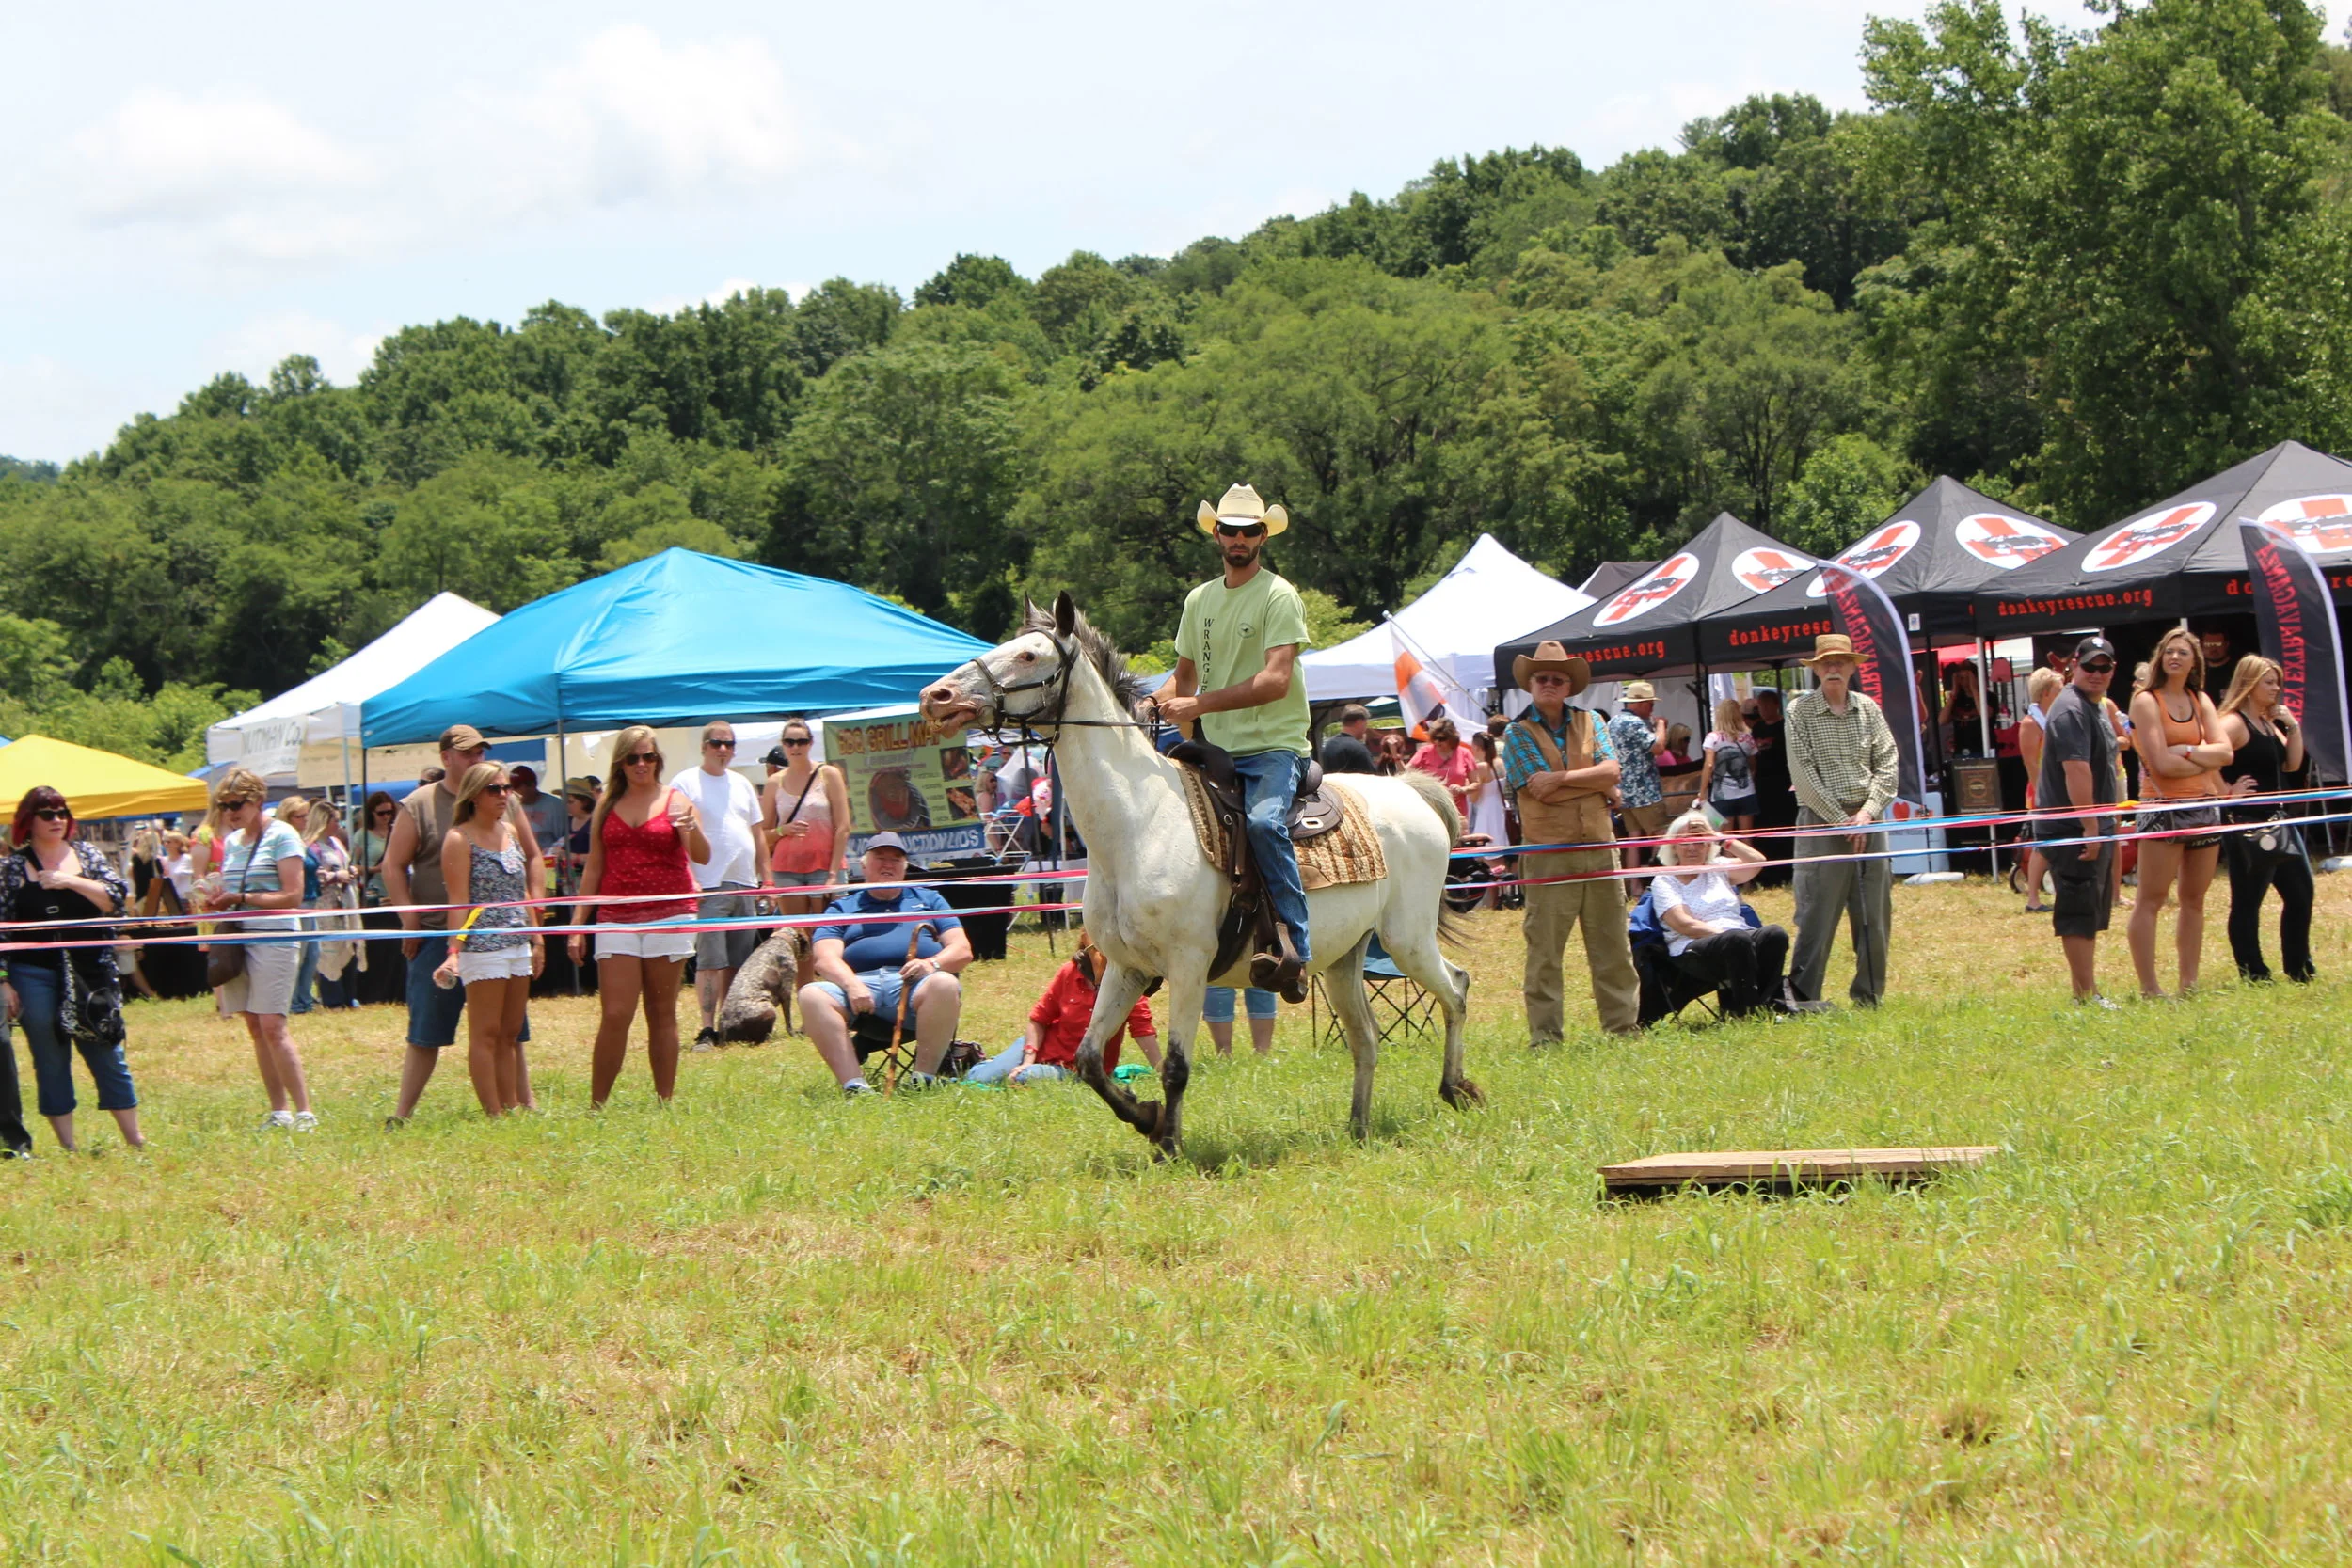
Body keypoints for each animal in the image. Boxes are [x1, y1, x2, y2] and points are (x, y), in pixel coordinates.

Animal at [919, 592, 1479, 1156]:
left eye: (1029, 655)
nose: (935, 696)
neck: (1137, 824)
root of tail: (1409, 790)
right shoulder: (1126, 967)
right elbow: (1088, 1060)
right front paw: (1145, 1116)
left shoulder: (1187, 965)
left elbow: (1175, 1066)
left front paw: (1168, 1142)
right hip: (1346, 958)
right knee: (1366, 1037)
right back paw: (1359, 1127)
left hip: (1406, 938)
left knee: (1456, 988)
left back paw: (1456, 1088)